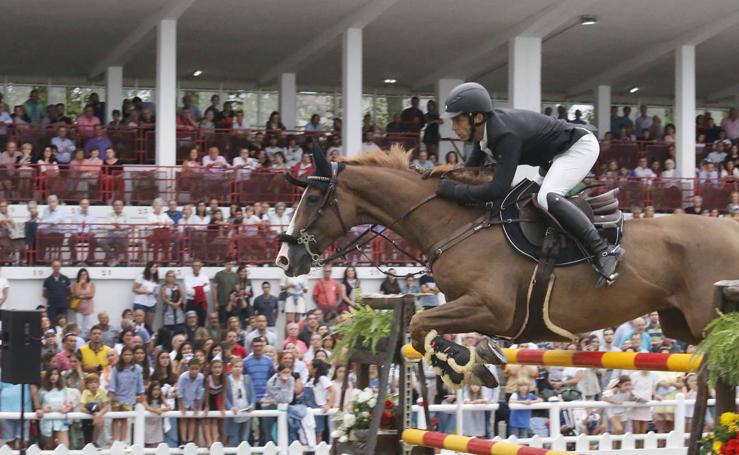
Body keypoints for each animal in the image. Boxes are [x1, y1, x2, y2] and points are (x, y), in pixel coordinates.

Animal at [276, 146, 739, 356]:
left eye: (313, 199)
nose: (284, 259)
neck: (459, 226)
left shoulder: (491, 308)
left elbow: (422, 324)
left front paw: (458, 362)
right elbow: (425, 327)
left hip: (707, 315)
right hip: (681, 323)